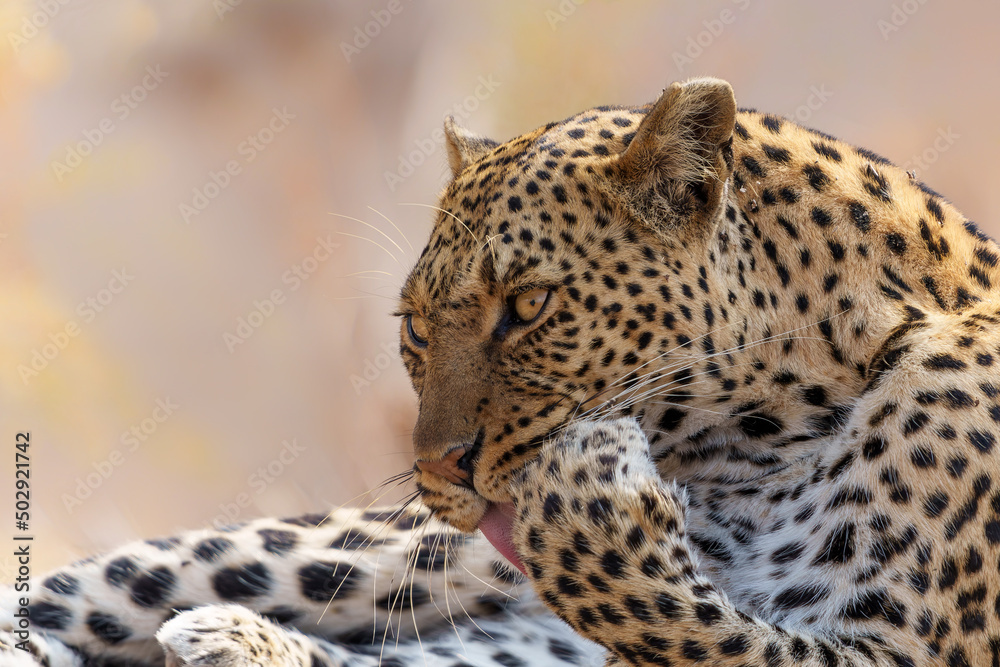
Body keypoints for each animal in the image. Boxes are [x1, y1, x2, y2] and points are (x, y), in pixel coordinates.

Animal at [4, 76, 1000, 667]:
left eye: (529, 304)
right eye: (414, 325)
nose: (439, 466)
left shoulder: (901, 651)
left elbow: (686, 625)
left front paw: (591, 491)